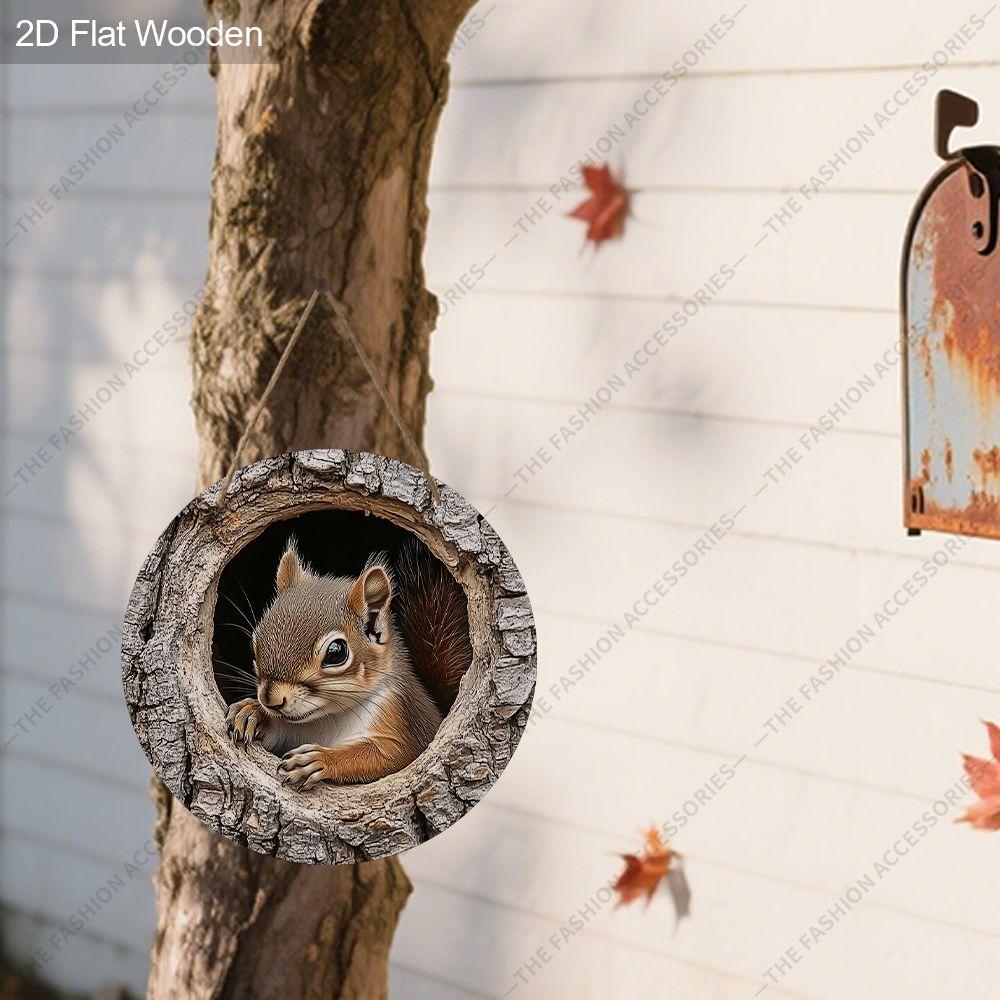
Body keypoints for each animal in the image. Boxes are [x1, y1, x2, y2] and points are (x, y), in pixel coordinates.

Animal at [226, 537, 472, 789]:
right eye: (254, 644)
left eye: (336, 652)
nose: (270, 700)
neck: (327, 718)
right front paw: (252, 713)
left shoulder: (404, 724)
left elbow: (387, 755)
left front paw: (321, 760)